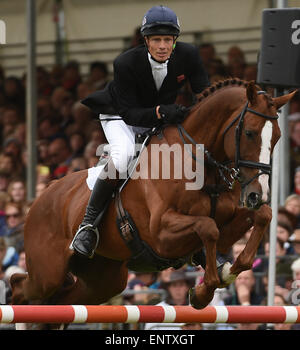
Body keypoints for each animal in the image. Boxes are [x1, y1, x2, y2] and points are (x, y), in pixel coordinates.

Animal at [11, 79, 292, 328]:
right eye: (249, 133)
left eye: (278, 137)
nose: (257, 194)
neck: (201, 164)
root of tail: (40, 198)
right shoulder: (161, 235)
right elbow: (208, 227)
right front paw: (204, 291)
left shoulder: (227, 223)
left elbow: (262, 217)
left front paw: (223, 274)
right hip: (48, 273)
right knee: (21, 286)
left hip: (104, 280)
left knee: (61, 302)